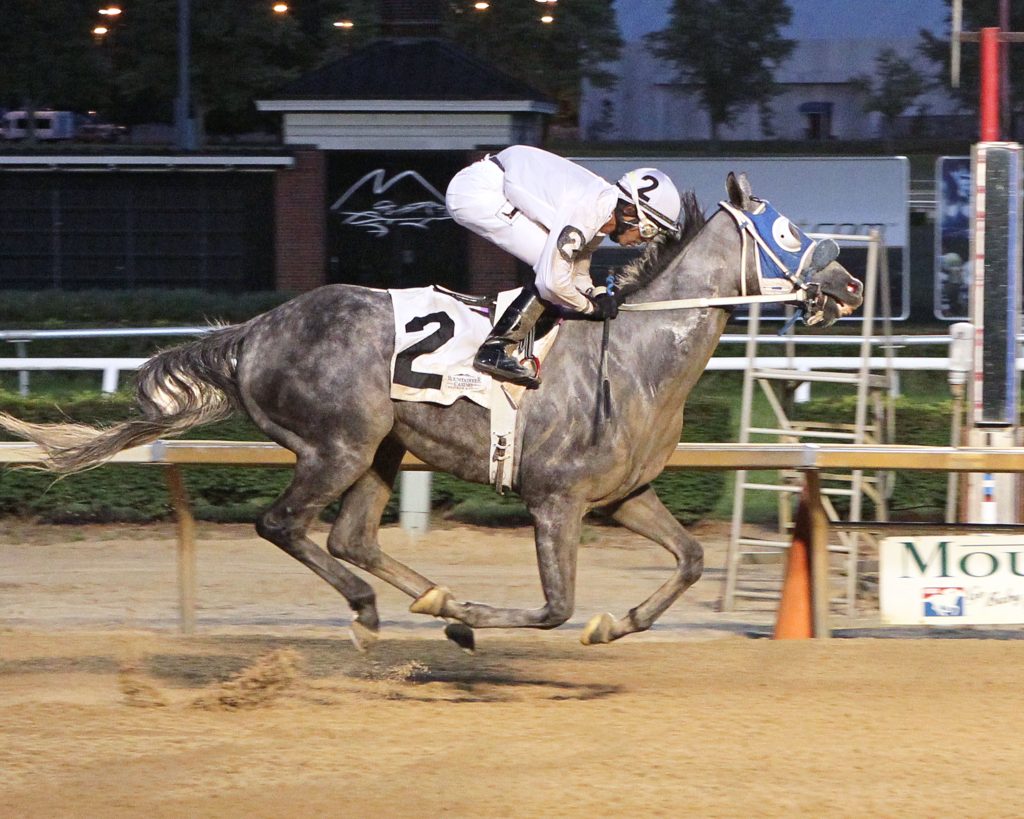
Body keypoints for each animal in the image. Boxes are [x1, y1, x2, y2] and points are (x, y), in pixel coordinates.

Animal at [0, 173, 864, 647]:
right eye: (789, 230)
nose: (851, 283)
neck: (638, 351)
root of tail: (253, 332)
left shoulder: (623, 496)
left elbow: (689, 559)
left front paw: (611, 622)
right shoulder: (555, 500)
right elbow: (554, 607)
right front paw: (488, 609)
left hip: (382, 446)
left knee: (349, 535)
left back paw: (429, 600)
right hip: (338, 446)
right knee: (284, 525)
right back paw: (383, 607)